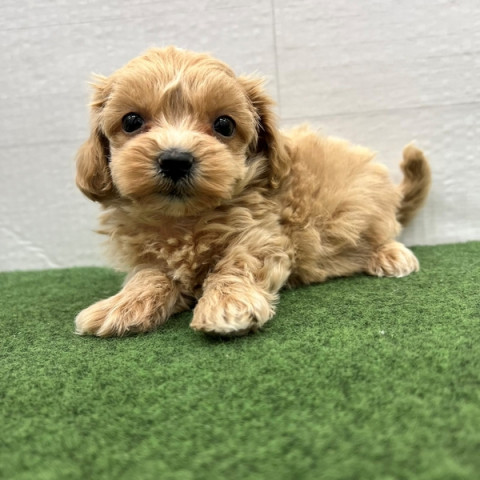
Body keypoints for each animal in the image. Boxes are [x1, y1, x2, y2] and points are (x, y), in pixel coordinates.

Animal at [75, 46, 431, 337]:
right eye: (131, 121)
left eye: (224, 125)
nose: (176, 160)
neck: (184, 218)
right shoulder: (147, 257)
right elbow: (149, 276)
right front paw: (121, 306)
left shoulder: (264, 235)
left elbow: (237, 262)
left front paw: (228, 303)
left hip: (369, 203)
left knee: (385, 230)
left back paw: (391, 255)